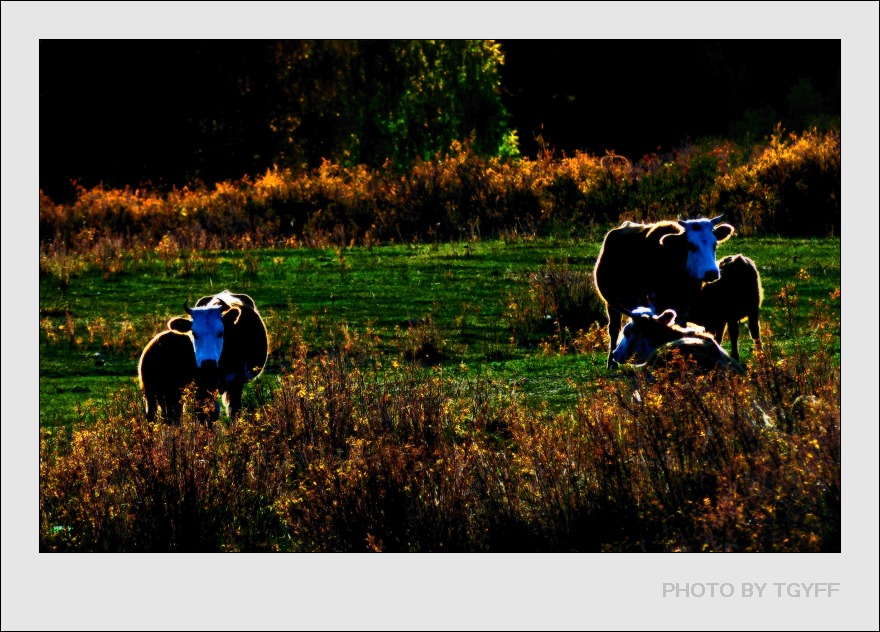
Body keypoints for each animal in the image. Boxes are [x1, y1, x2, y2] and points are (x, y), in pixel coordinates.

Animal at [592, 216, 736, 368]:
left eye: (715, 244)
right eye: (691, 245)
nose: (711, 273)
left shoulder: (685, 306)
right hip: (611, 303)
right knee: (613, 329)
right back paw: (611, 363)